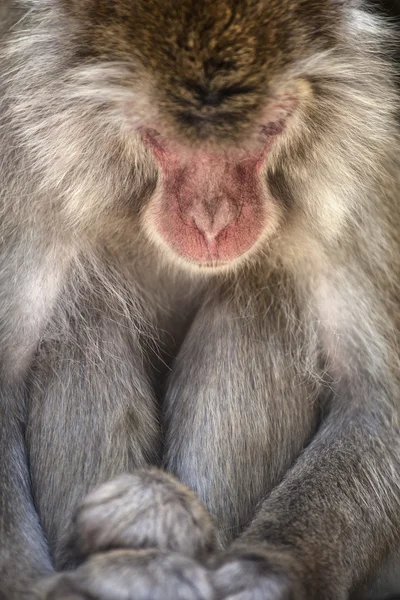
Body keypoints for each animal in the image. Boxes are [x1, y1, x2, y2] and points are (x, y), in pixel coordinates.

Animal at [0, 0, 400, 596]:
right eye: (159, 138)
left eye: (267, 130)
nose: (212, 221)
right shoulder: (19, 170)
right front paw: (48, 588)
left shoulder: (361, 171)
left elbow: (376, 403)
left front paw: (270, 571)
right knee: (86, 318)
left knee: (262, 298)